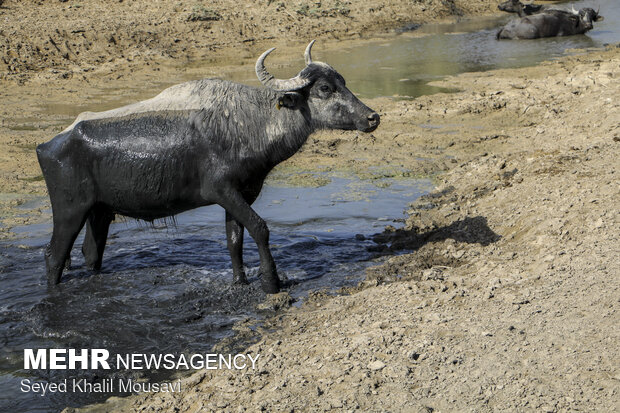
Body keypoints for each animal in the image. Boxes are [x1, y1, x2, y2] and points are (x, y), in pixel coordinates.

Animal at [38, 41, 380, 292]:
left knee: (91, 254)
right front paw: (271, 281)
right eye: (324, 89)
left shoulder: (241, 195)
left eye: (343, 82)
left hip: (99, 212)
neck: (246, 124)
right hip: (70, 211)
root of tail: (50, 143)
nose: (372, 117)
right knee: (54, 255)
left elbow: (234, 241)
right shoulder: (222, 191)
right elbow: (260, 228)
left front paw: (240, 281)